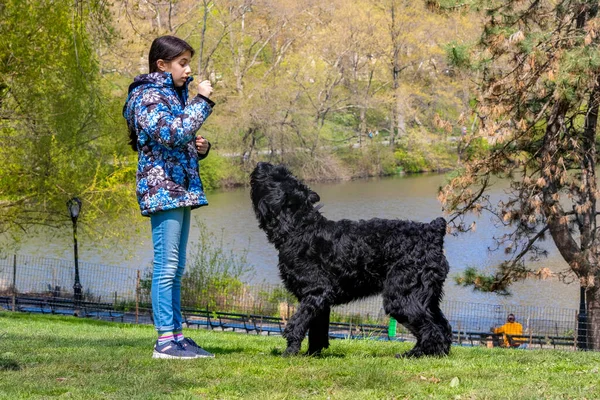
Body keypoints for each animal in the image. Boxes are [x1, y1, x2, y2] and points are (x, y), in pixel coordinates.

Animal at [251, 162, 452, 360]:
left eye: (277, 176)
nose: (261, 164)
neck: (298, 227)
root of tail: (433, 231)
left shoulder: (316, 291)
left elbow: (298, 324)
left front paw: (289, 353)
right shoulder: (318, 300)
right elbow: (317, 330)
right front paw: (312, 354)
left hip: (401, 297)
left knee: (430, 329)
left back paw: (415, 354)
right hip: (427, 296)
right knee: (442, 326)